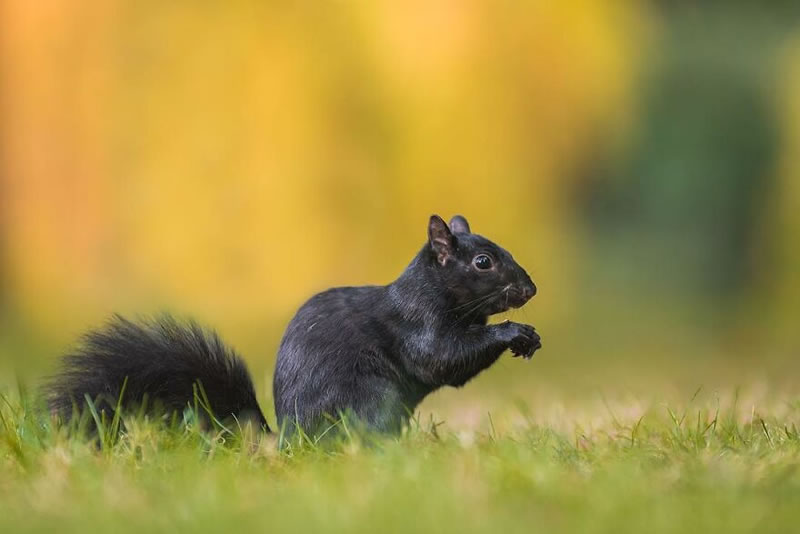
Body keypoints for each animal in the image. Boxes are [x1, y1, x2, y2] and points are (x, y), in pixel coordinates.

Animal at [47, 216, 540, 438]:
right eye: (483, 262)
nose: (530, 289)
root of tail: (287, 442)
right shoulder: (417, 324)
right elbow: (442, 359)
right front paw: (513, 332)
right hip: (370, 401)